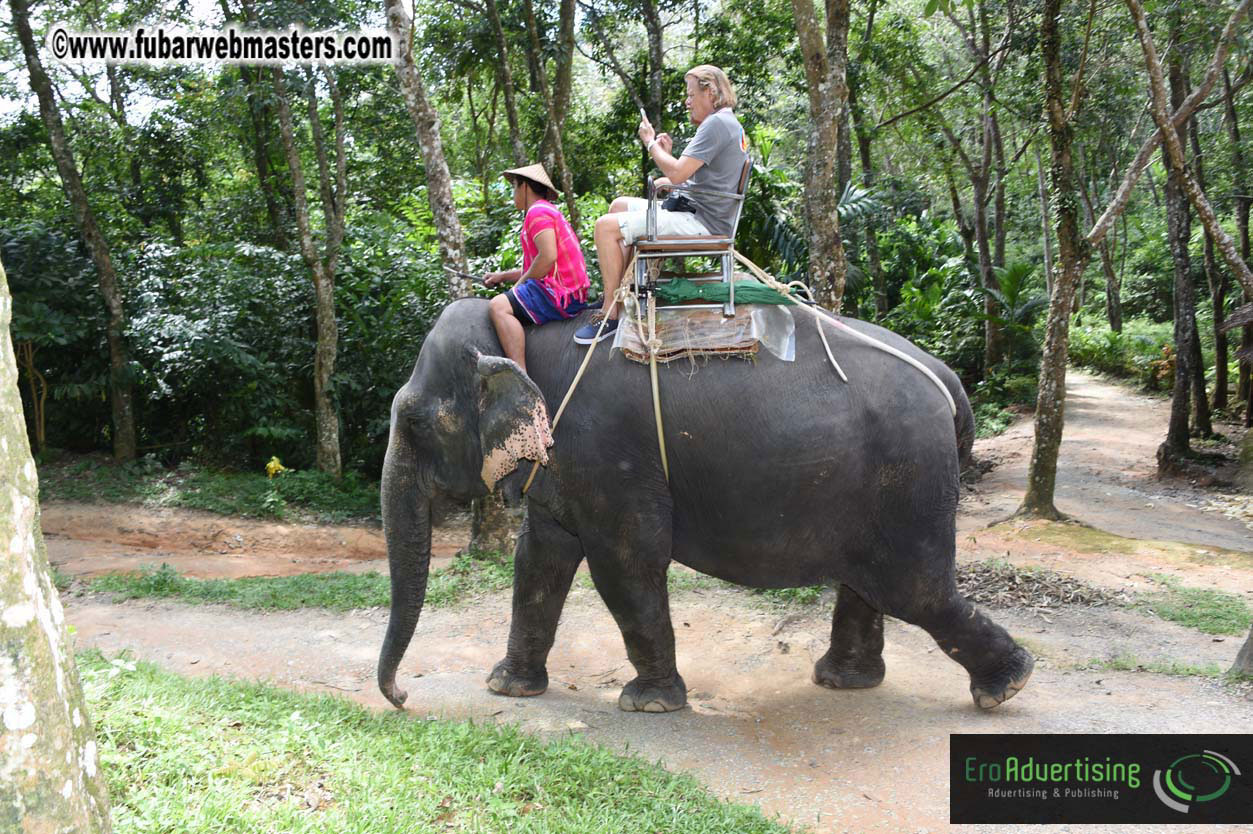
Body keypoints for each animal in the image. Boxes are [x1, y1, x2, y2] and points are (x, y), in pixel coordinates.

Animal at [377, 298, 1033, 713]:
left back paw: (1005, 687)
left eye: (415, 423)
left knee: (914, 590)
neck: (518, 337)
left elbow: (625, 562)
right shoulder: (563, 462)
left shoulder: (608, 452)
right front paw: (507, 689)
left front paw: (649, 704)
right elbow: (539, 559)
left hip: (910, 476)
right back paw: (845, 681)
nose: (403, 697)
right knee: (868, 581)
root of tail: (948, 380)